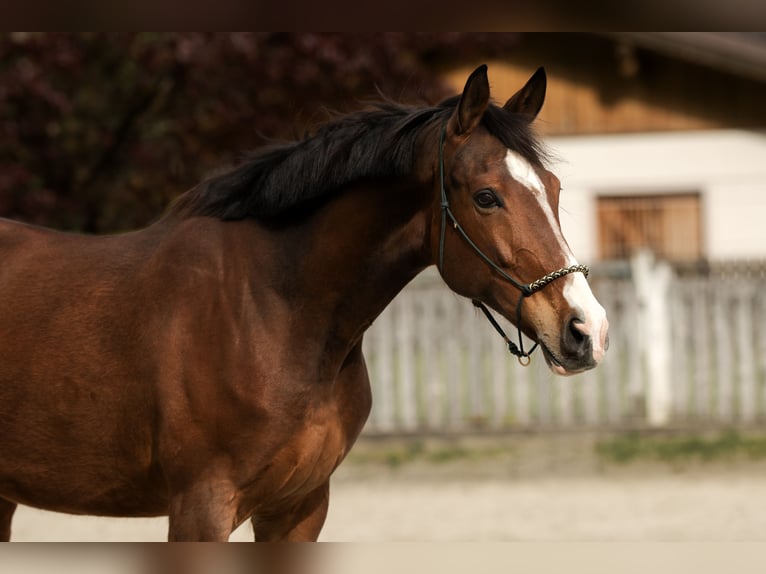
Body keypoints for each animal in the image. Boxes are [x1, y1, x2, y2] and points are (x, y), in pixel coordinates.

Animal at [0, 65, 608, 541]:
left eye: (555, 189)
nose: (587, 330)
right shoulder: (200, 507)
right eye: (486, 197)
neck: (274, 311)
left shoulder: (299, 507)